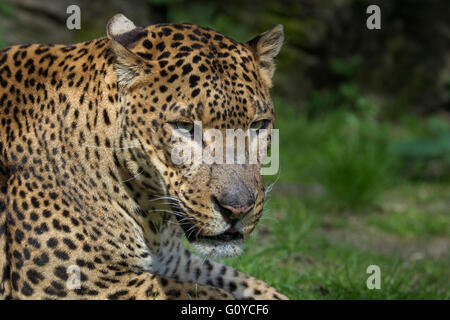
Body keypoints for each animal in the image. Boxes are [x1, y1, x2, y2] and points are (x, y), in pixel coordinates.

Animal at [0, 13, 286, 300]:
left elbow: (245, 282)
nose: (237, 209)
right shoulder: (70, 281)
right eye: (184, 126)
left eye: (258, 125)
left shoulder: (174, 259)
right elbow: (210, 293)